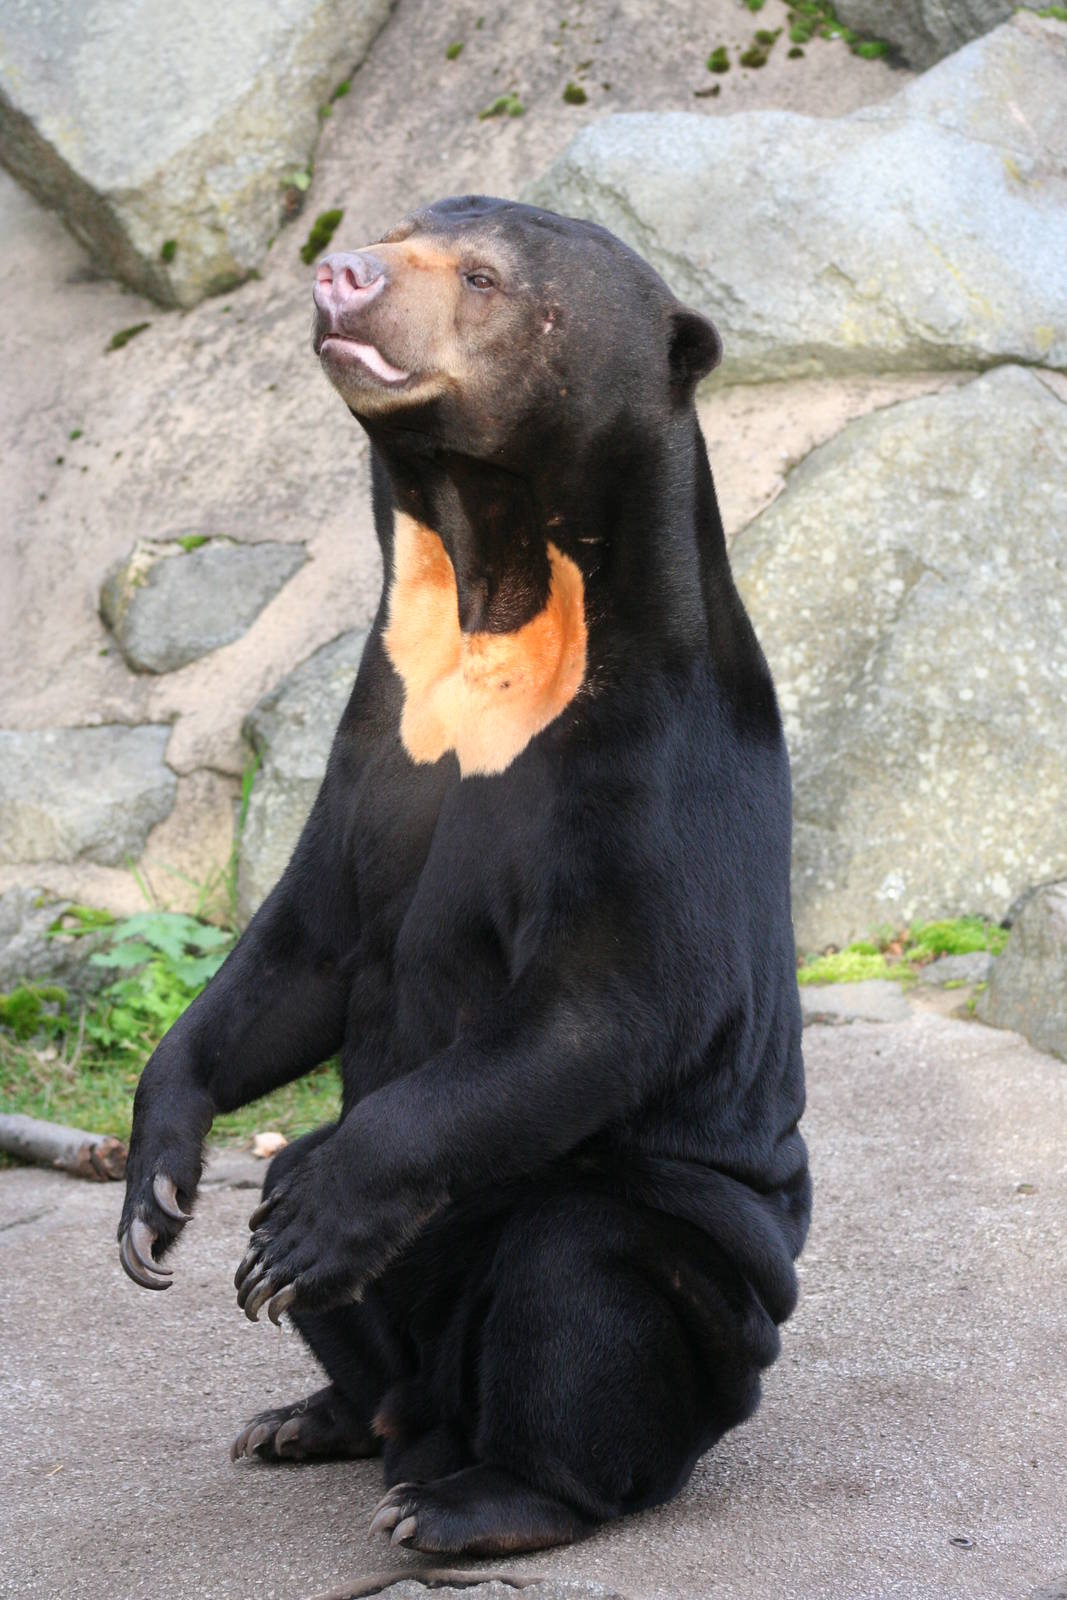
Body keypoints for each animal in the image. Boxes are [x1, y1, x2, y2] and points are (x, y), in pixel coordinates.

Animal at [117, 194, 810, 1558]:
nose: (340, 275)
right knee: (329, 1261)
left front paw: (313, 1217)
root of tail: (436, 1414)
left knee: (575, 1282)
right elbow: (303, 947)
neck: (497, 602)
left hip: (694, 1293)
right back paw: (314, 1415)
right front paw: (156, 1191)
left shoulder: (647, 765)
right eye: (392, 230)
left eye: (484, 278)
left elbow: (604, 1005)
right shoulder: (380, 730)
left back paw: (474, 1500)